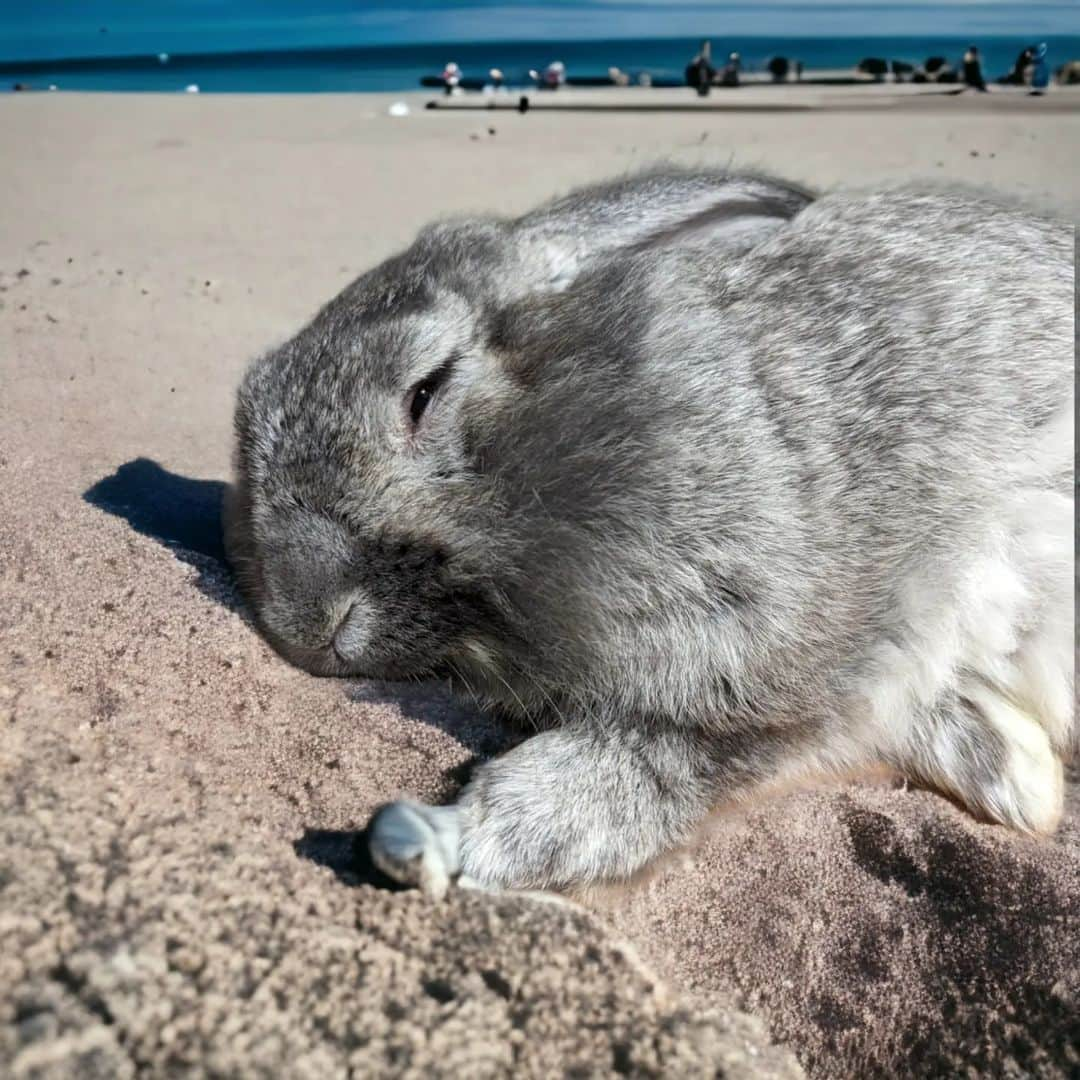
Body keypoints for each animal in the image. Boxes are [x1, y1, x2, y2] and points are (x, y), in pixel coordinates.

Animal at [227, 168, 1071, 894]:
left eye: (425, 391)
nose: (307, 624)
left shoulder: (782, 675)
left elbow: (619, 780)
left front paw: (439, 838)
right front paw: (1028, 783)